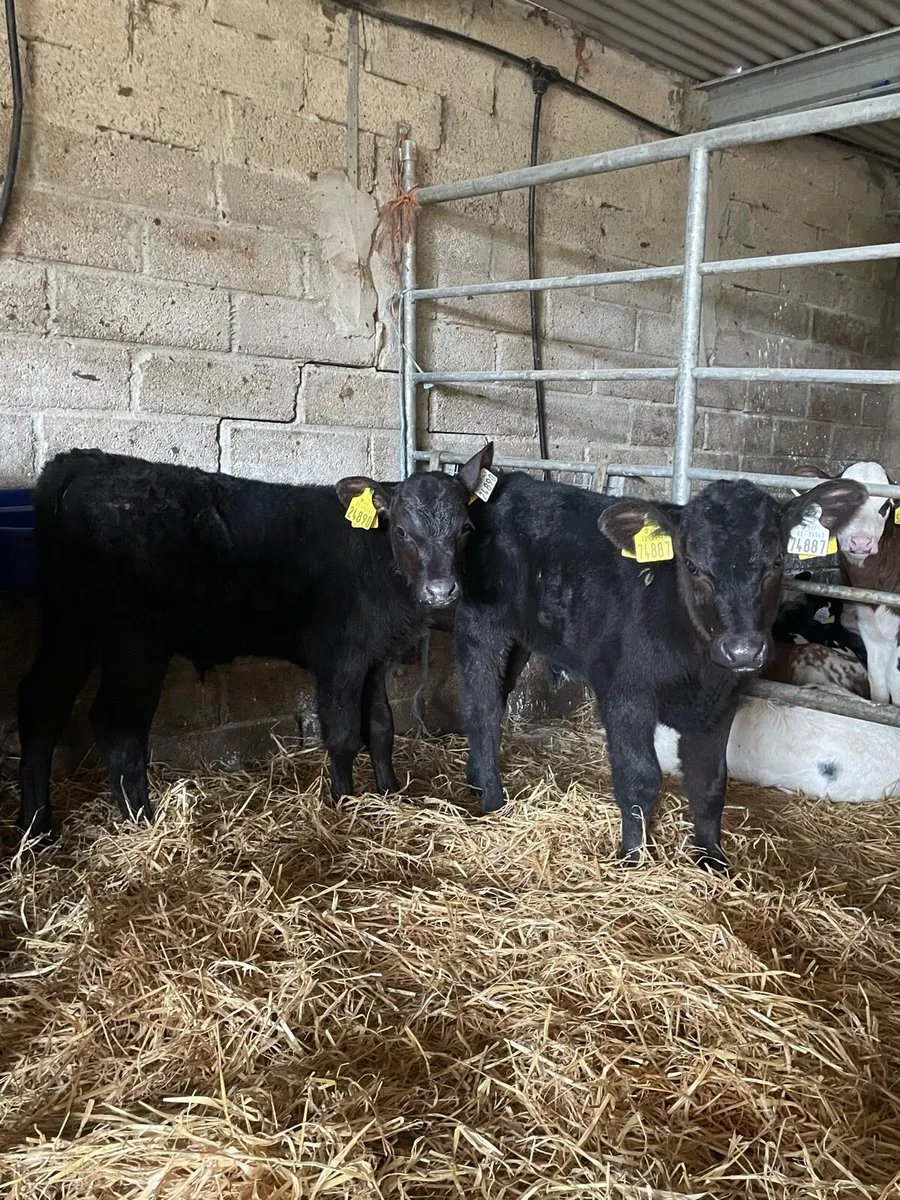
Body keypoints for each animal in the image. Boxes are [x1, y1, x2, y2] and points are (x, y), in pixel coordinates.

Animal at [17, 444, 494, 839]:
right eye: (402, 531)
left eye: (465, 529)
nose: (441, 591)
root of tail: (83, 461)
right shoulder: (340, 659)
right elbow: (342, 733)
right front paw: (344, 803)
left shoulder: (377, 656)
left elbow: (381, 726)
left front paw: (391, 794)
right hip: (134, 643)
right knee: (116, 725)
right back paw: (142, 821)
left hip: (71, 627)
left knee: (42, 707)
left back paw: (37, 828)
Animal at [455, 472, 867, 869]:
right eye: (693, 565)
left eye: (778, 561)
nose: (742, 650)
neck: (697, 667)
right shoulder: (625, 695)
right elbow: (639, 779)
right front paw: (633, 858)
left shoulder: (721, 703)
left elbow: (710, 781)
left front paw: (712, 859)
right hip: (480, 627)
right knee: (483, 708)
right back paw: (493, 800)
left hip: (522, 639)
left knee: (498, 697)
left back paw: (476, 778)